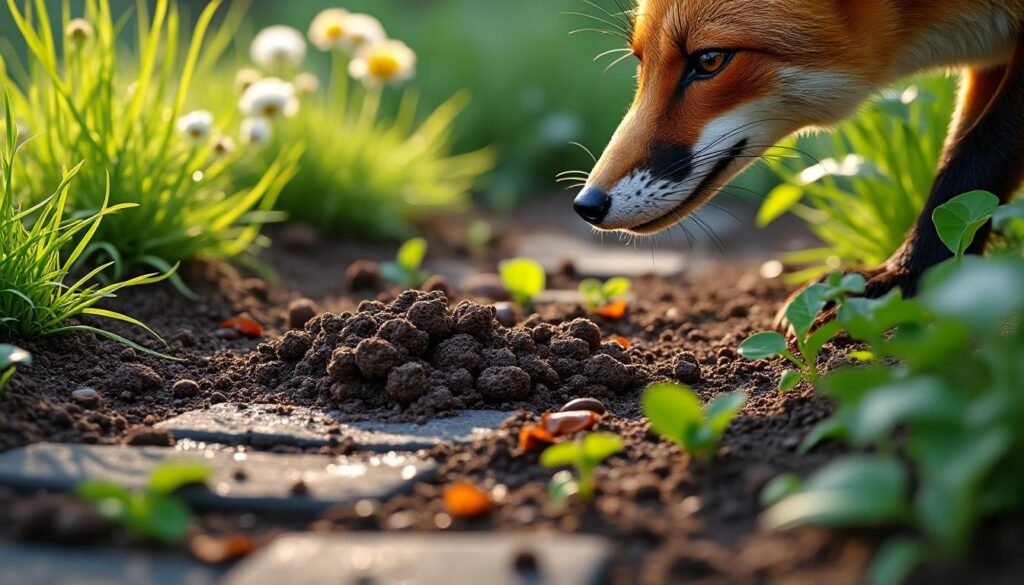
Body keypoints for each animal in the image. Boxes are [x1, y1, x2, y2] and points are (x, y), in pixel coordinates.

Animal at [575, 0, 1024, 301]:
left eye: (710, 59)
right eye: (640, 59)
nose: (586, 205)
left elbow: (973, 159)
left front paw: (907, 277)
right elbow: (961, 173)